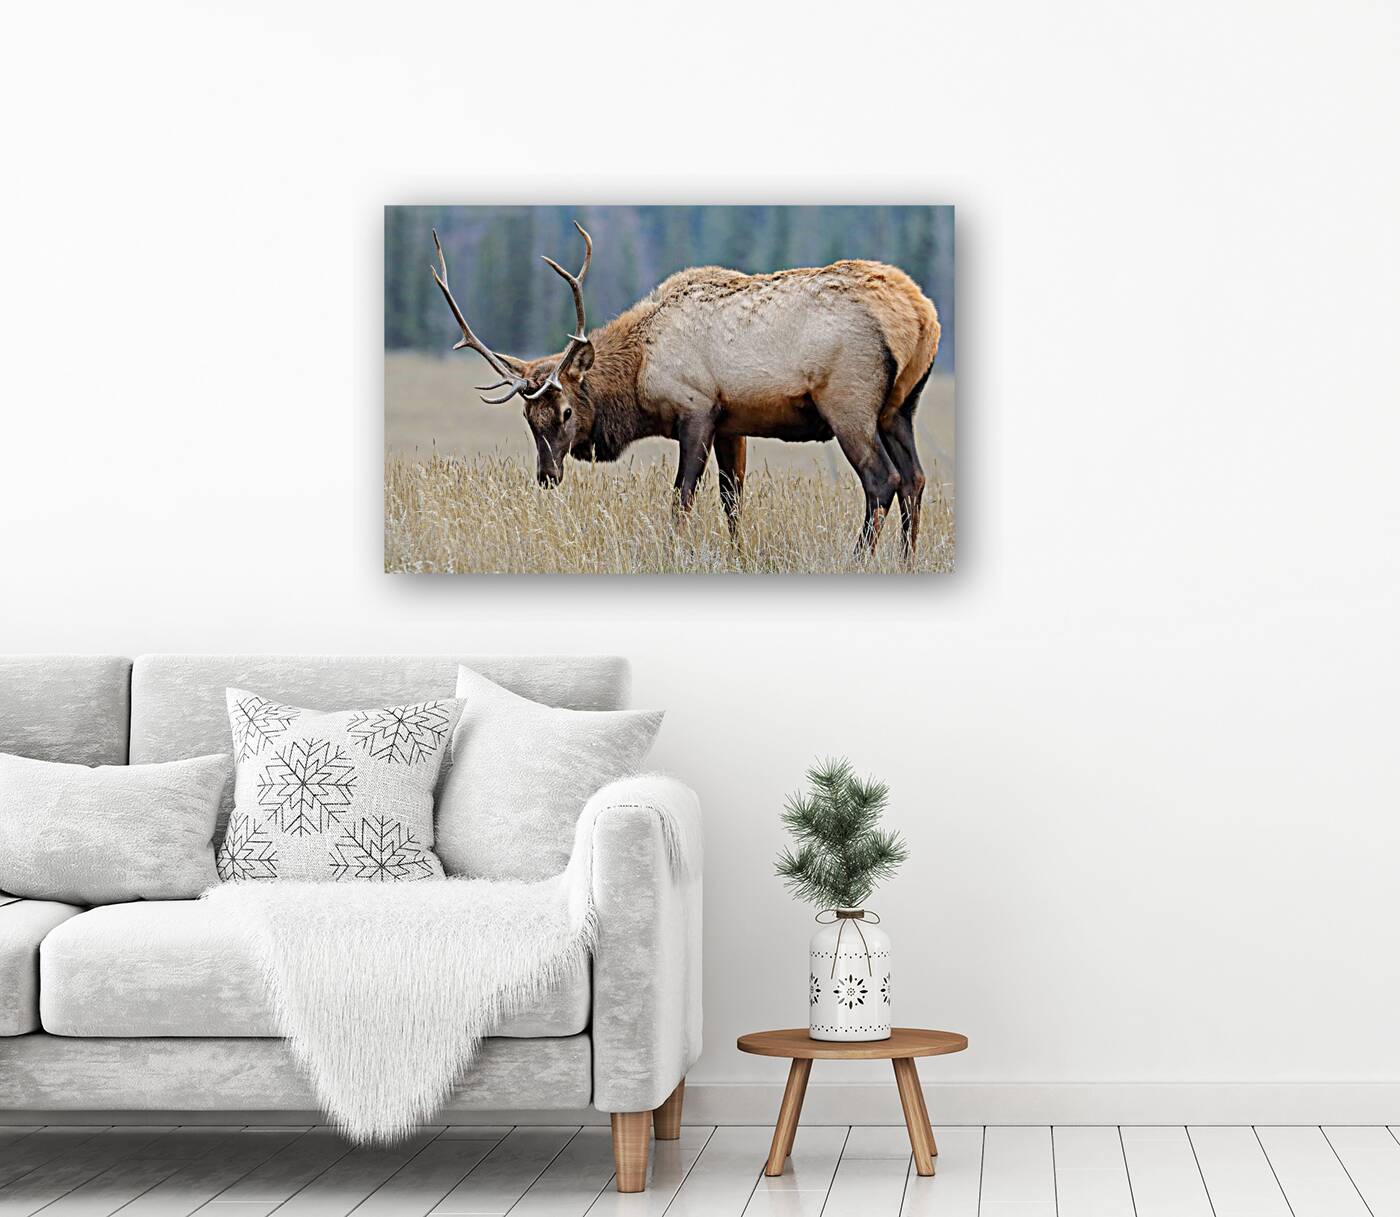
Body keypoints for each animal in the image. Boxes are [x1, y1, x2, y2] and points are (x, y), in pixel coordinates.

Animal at [430, 221, 941, 557]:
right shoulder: (734, 422)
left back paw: (860, 558)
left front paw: (672, 550)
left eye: (567, 412)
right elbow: (732, 499)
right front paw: (738, 556)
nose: (547, 476)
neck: (640, 371)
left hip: (850, 404)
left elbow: (682, 497)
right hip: (900, 409)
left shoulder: (697, 410)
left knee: (883, 480)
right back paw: (906, 560)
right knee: (915, 478)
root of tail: (921, 315)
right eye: (527, 418)